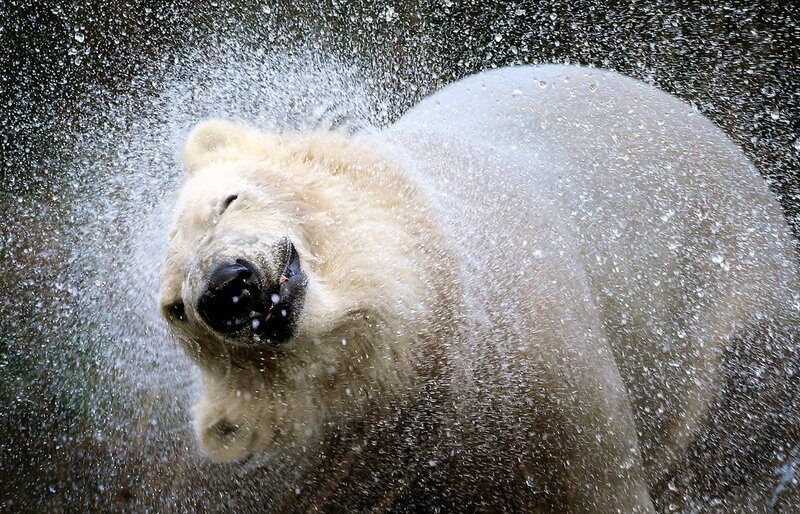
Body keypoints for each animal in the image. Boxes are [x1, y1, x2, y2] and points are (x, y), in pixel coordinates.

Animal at [159, 65, 800, 512]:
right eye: (178, 311)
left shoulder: (547, 366)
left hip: (742, 326)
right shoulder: (361, 470)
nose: (224, 286)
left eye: (229, 200)